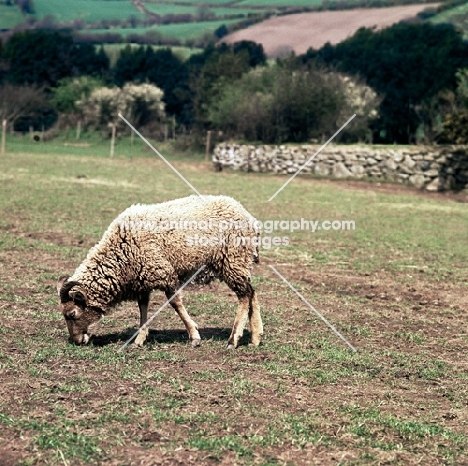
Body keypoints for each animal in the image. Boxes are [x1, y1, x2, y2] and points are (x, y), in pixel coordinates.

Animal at [56, 194, 262, 350]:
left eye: (72, 314)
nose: (76, 342)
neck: (120, 253)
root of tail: (247, 216)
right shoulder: (142, 279)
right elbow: (142, 308)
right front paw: (139, 340)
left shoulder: (164, 273)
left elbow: (175, 303)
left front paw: (194, 335)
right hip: (239, 263)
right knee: (252, 292)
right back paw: (255, 337)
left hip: (233, 260)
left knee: (244, 296)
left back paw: (233, 340)